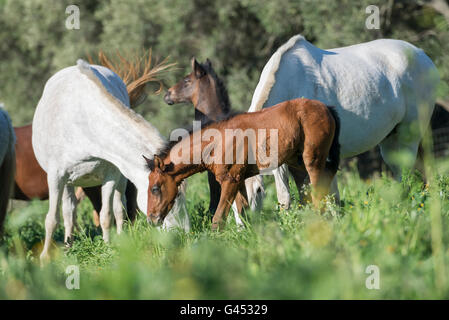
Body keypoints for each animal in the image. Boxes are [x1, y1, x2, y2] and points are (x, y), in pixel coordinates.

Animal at [33, 59, 189, 260]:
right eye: (174, 195)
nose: (184, 234)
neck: (84, 120)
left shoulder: (110, 175)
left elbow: (106, 216)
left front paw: (107, 249)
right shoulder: (55, 176)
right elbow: (52, 219)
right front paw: (45, 258)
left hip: (120, 179)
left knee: (118, 208)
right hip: (67, 183)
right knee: (69, 212)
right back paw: (68, 246)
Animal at [145, 97, 338, 230]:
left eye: (154, 188)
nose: (151, 219)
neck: (216, 142)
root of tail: (326, 107)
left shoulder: (229, 181)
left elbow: (219, 218)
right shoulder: (239, 181)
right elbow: (244, 214)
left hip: (312, 161)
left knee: (318, 192)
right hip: (298, 162)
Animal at [245, 34, 438, 208]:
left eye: (258, 191)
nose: (245, 223)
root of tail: (422, 55)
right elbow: (288, 198)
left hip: (409, 136)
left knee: (406, 174)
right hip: (391, 140)